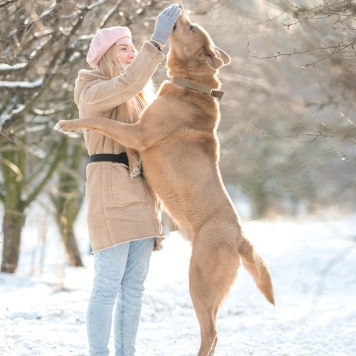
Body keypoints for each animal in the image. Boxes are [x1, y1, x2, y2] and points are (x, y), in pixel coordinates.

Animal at [55, 8, 276, 356]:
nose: (180, 10)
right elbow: (126, 146)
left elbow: (97, 120)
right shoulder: (138, 135)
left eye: (190, 28)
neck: (193, 86)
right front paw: (134, 167)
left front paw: (68, 123)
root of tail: (240, 237)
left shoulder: (139, 132)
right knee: (214, 332)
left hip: (199, 279)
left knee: (211, 332)